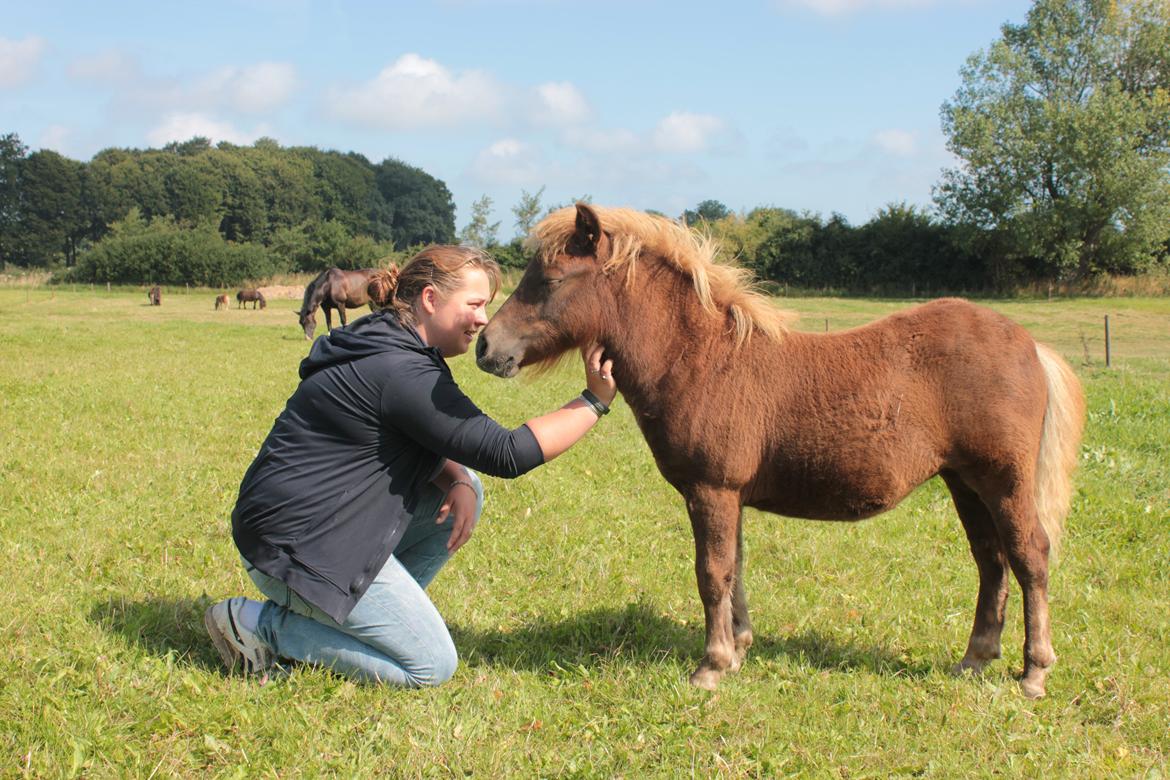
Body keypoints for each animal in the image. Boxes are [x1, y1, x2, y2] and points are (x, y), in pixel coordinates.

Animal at [477, 204, 1085, 696]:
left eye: (551, 279)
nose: (486, 346)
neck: (703, 359)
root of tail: (1030, 344)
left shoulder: (712, 489)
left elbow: (713, 572)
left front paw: (711, 666)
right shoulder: (730, 495)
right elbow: (736, 568)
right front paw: (738, 649)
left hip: (1003, 480)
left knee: (1030, 556)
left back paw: (1034, 672)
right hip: (965, 483)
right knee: (990, 560)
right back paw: (975, 659)